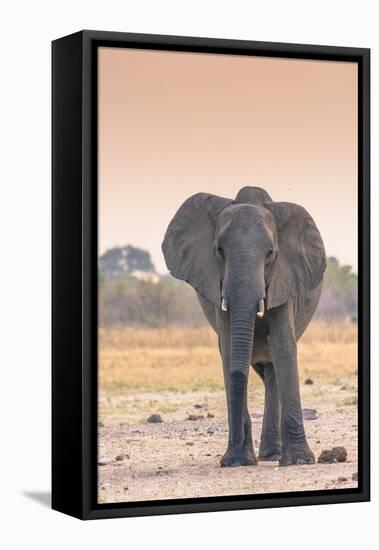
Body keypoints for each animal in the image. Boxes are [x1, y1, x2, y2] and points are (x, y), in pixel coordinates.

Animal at [162, 188, 328, 468]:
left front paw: (299, 462)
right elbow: (230, 350)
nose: (227, 459)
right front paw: (238, 461)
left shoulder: (285, 279)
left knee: (274, 369)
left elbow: (283, 346)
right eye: (219, 251)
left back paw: (273, 456)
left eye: (270, 253)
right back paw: (266, 455)